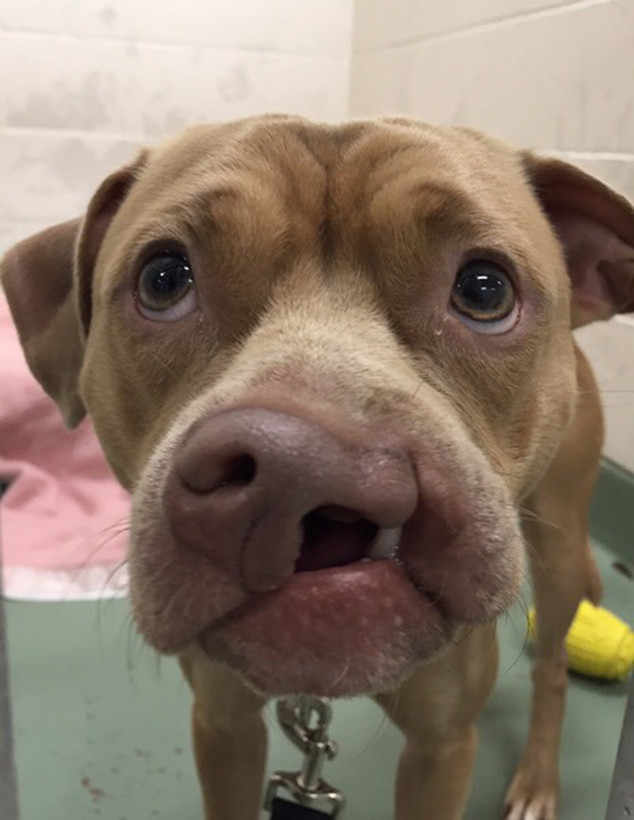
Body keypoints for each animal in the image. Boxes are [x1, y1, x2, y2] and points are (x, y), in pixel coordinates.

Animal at [3, 115, 633, 820]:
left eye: (485, 289)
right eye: (162, 279)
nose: (297, 476)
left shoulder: (441, 749)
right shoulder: (223, 727)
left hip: (558, 549)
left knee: (552, 667)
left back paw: (538, 778)